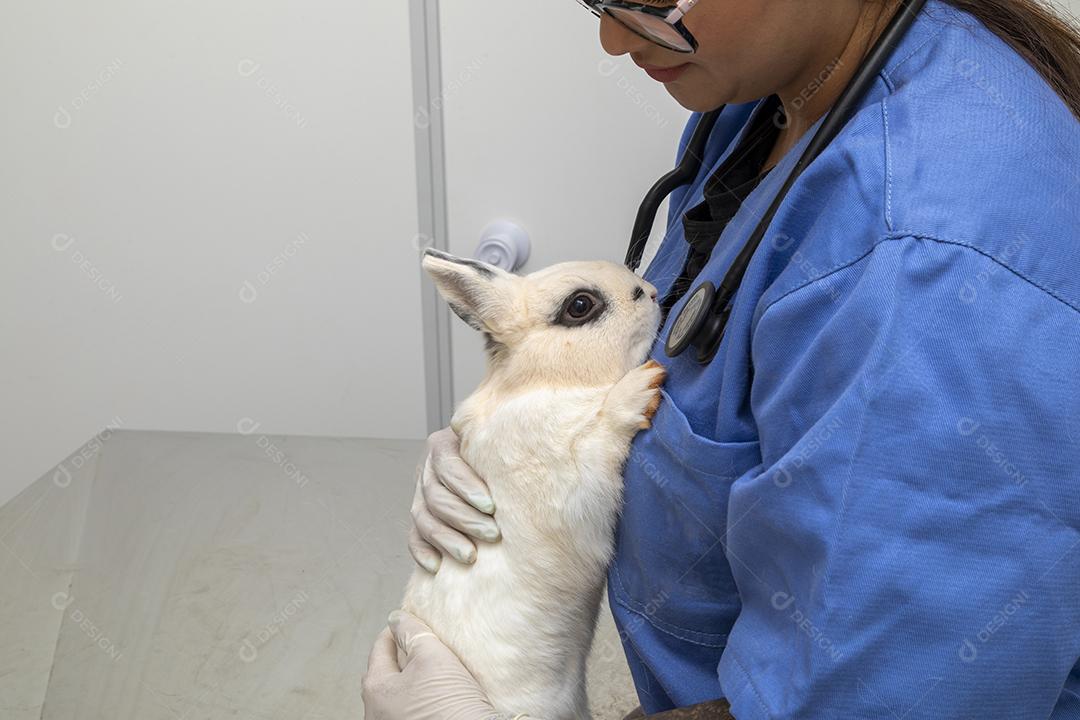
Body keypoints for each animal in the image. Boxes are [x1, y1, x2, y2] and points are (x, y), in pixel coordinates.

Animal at [398, 247, 666, 720]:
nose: (651, 293)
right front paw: (638, 389)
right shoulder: (571, 482)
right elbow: (603, 429)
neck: (549, 383)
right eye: (579, 305)